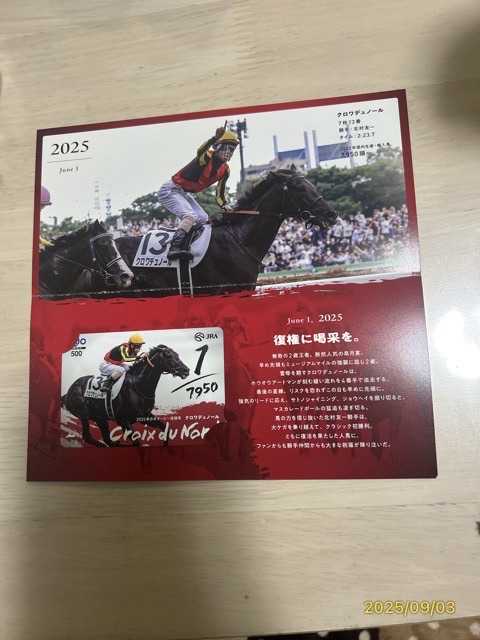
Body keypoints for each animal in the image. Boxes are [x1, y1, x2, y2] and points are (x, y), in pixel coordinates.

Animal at [61, 344, 190, 447]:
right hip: (83, 413)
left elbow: (165, 427)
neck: (138, 385)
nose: (186, 370)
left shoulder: (144, 416)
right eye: (168, 356)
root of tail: (68, 392)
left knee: (107, 439)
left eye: (177, 354)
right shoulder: (123, 420)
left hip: (100, 418)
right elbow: (136, 442)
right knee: (89, 437)